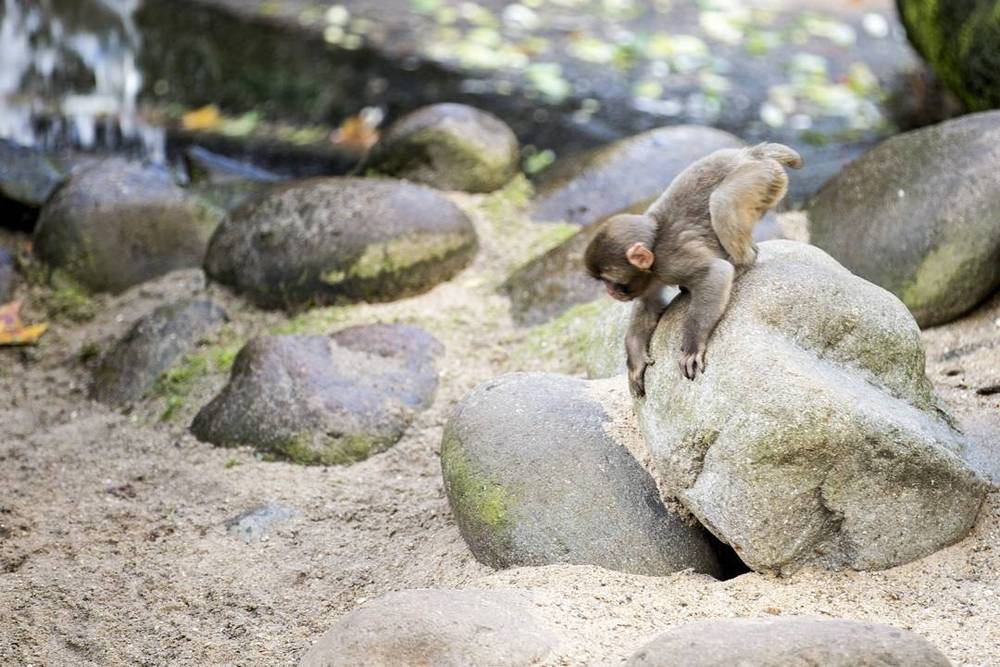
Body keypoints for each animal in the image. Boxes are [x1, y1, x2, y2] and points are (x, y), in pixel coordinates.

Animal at [584, 143, 802, 396]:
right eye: (603, 281)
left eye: (611, 280)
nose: (610, 292)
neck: (654, 247)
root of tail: (751, 154)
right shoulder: (651, 279)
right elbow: (649, 305)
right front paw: (635, 358)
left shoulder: (670, 262)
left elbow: (715, 273)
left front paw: (692, 346)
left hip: (761, 177)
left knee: (722, 202)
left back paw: (742, 263)